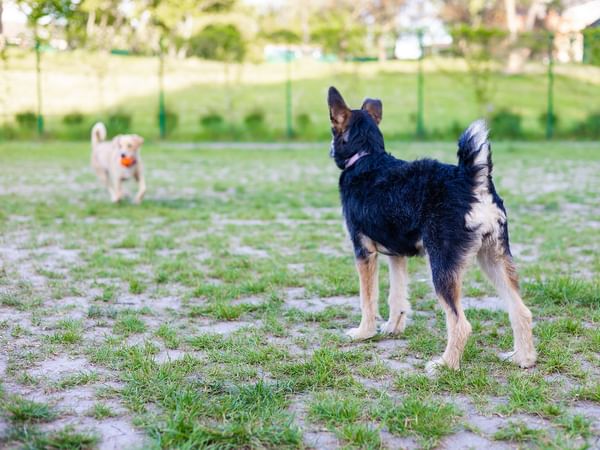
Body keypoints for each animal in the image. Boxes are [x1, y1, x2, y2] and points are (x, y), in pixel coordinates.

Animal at [328, 86, 540, 374]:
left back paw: (445, 365)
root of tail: (473, 181)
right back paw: (523, 358)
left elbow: (368, 299)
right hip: (493, 259)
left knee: (460, 324)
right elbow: (397, 297)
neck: (366, 157)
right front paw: (393, 328)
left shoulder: (363, 252)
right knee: (521, 311)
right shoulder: (397, 254)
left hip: (442, 266)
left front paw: (364, 333)